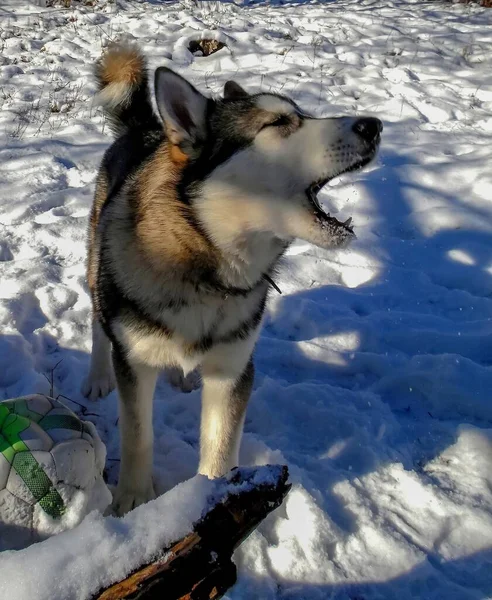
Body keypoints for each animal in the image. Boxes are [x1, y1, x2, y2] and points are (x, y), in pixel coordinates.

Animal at [82, 42, 382, 512]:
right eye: (279, 123)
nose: (374, 126)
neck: (206, 269)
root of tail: (146, 130)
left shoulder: (233, 370)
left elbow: (220, 448)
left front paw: (212, 499)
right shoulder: (136, 362)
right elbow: (137, 436)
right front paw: (133, 501)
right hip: (99, 266)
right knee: (98, 321)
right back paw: (98, 377)